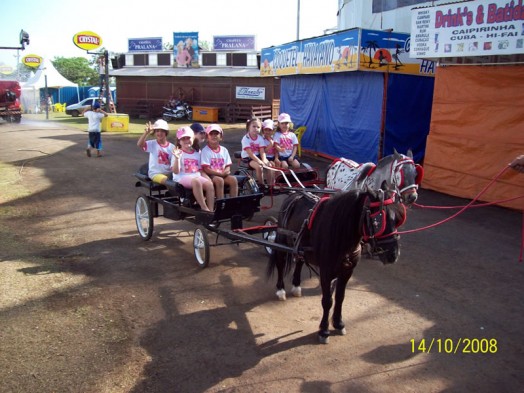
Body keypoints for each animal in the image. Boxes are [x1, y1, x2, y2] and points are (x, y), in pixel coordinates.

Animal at [266, 188, 406, 344]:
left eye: (397, 219)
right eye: (378, 221)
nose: (393, 254)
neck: (340, 233)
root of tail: (293, 194)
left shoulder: (347, 271)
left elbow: (340, 297)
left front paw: (338, 323)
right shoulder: (326, 273)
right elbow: (327, 301)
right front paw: (324, 330)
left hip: (300, 246)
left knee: (300, 261)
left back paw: (296, 286)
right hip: (282, 243)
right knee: (280, 263)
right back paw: (280, 290)